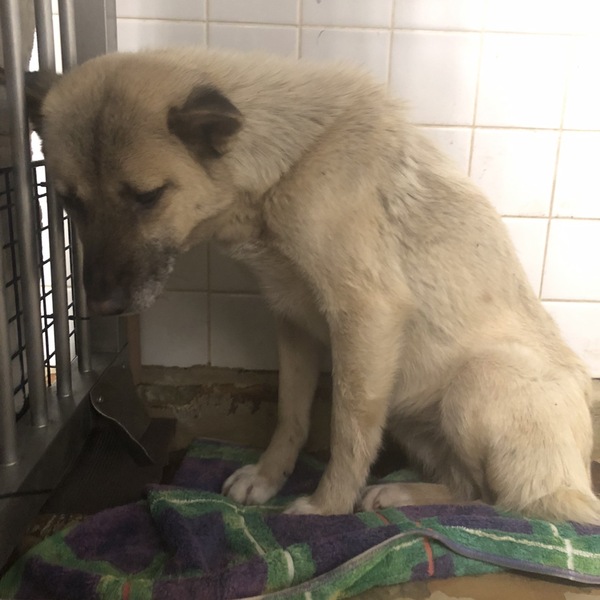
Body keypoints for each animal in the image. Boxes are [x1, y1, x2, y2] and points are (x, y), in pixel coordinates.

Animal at [16, 48, 599, 523]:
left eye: (147, 196)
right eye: (68, 201)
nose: (101, 305)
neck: (289, 164)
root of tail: (574, 483)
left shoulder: (365, 319)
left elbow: (347, 430)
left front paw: (326, 507)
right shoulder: (293, 324)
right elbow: (291, 414)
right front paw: (268, 477)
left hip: (476, 382)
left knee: (505, 502)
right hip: (410, 413)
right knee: (474, 488)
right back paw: (402, 495)